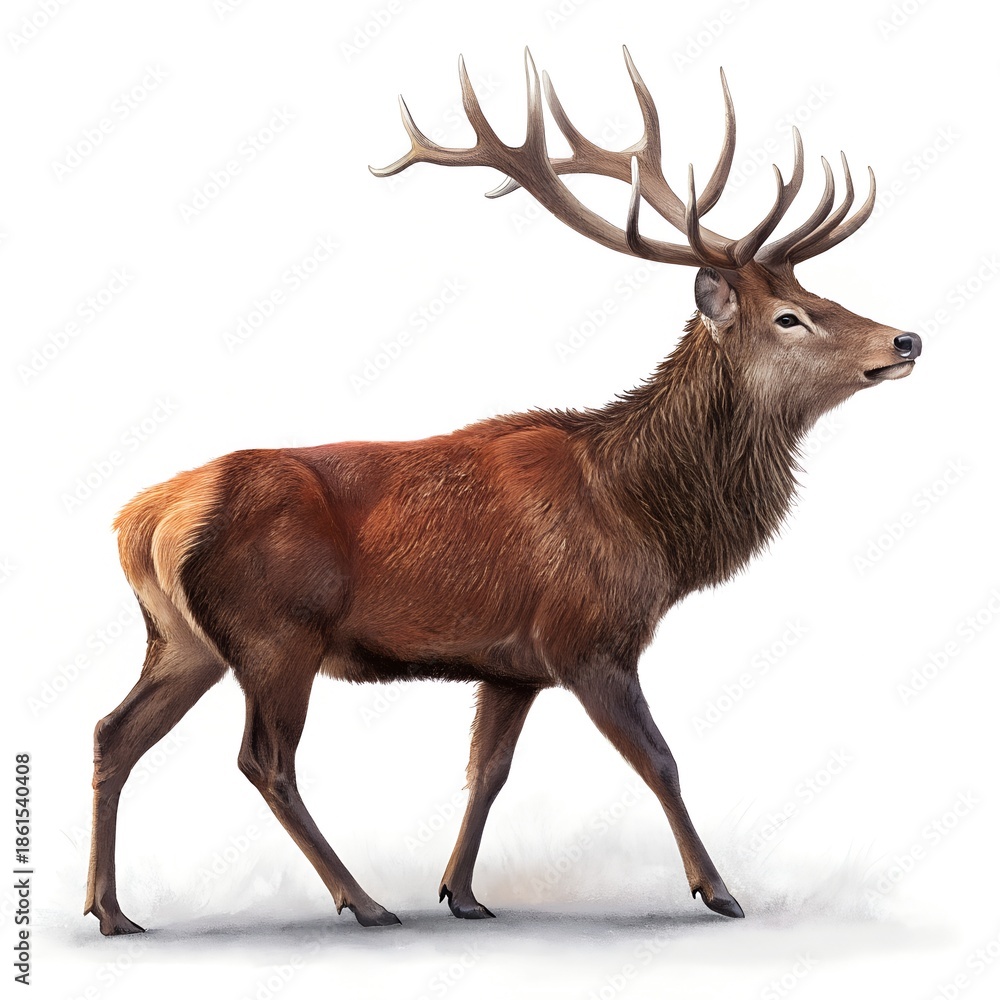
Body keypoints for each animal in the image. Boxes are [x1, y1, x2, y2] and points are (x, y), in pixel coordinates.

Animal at [85, 47, 920, 936]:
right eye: (791, 316)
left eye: (825, 294)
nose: (906, 338)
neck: (646, 521)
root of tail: (141, 519)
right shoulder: (587, 637)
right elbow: (659, 759)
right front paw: (719, 889)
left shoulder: (511, 666)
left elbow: (488, 770)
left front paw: (461, 891)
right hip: (277, 634)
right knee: (263, 760)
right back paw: (363, 900)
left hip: (184, 638)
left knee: (113, 733)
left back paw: (111, 910)